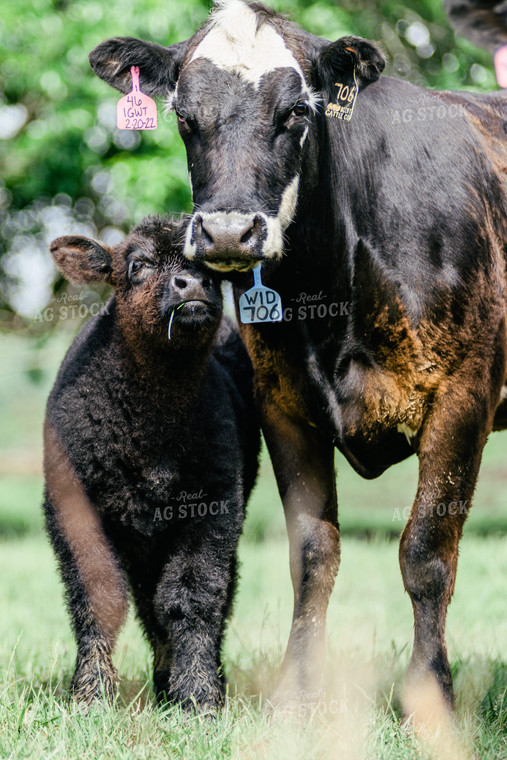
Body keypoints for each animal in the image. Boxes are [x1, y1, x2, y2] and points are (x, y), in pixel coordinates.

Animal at [41, 217, 260, 708]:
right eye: (137, 265)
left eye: (210, 267)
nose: (192, 284)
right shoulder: (74, 506)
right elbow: (97, 597)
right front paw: (91, 694)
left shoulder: (216, 504)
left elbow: (194, 598)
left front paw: (198, 696)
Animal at [88, 0, 507, 720]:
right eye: (184, 116)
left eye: (295, 113)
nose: (229, 231)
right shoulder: (282, 405)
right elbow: (312, 553)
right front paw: (295, 692)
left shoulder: (463, 397)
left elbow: (426, 555)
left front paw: (430, 697)